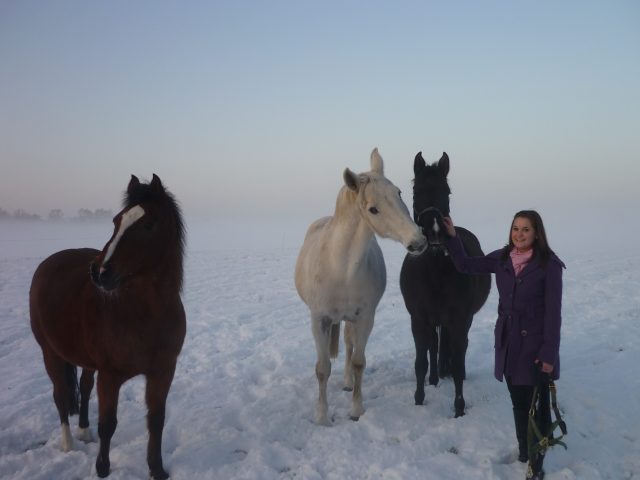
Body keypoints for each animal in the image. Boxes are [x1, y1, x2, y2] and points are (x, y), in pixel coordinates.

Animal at [29, 174, 186, 478]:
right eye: (116, 221)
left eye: (149, 224)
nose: (99, 272)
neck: (147, 315)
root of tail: (49, 262)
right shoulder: (110, 376)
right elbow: (108, 424)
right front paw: (102, 469)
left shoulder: (163, 371)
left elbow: (156, 420)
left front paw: (157, 469)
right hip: (50, 353)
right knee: (61, 395)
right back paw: (68, 443)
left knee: (84, 386)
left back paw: (84, 431)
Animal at [294, 148, 424, 426]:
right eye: (373, 209)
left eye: (399, 193)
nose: (418, 241)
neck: (341, 269)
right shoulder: (319, 320)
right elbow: (322, 369)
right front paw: (322, 416)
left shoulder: (365, 318)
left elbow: (358, 362)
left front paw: (356, 410)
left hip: (351, 319)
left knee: (348, 344)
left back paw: (346, 383)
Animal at [400, 151, 490, 416]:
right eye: (416, 190)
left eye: (447, 191)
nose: (435, 231)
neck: (435, 271)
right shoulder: (419, 320)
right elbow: (420, 362)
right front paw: (419, 400)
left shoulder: (459, 320)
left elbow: (458, 363)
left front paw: (459, 408)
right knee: (433, 346)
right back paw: (434, 378)